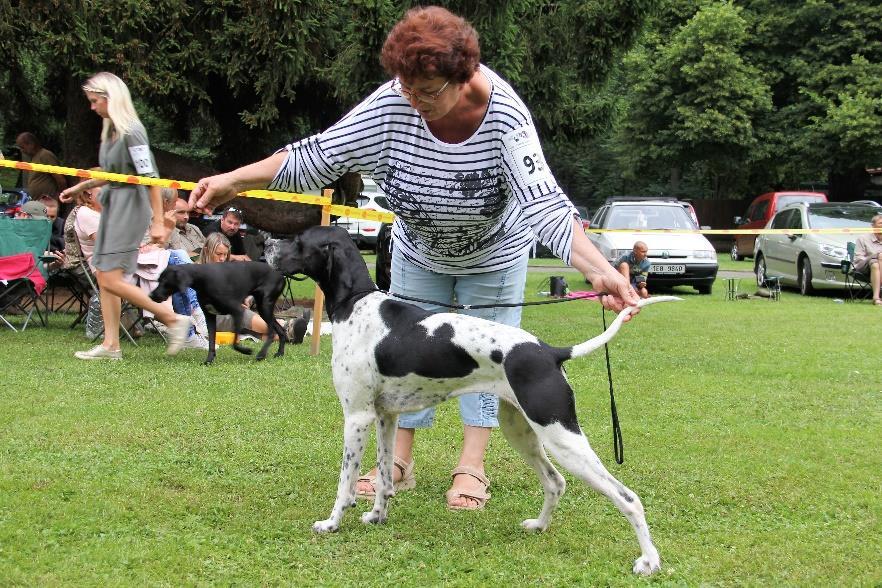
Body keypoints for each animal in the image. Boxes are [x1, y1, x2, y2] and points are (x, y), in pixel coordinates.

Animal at [150, 262, 288, 362]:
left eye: (165, 282)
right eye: (158, 280)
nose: (151, 295)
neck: (202, 279)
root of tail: (280, 274)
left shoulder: (238, 311)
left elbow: (234, 343)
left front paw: (246, 351)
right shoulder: (210, 316)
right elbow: (211, 341)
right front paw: (209, 360)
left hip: (264, 307)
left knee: (271, 333)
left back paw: (262, 354)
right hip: (264, 309)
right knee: (281, 331)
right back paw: (280, 353)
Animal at [278, 226, 676, 580]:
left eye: (299, 241)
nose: (269, 245)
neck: (356, 304)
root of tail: (550, 352)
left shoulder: (357, 417)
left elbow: (344, 484)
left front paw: (331, 523)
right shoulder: (386, 417)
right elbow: (384, 478)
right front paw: (377, 516)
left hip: (562, 437)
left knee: (627, 498)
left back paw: (649, 561)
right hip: (522, 432)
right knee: (555, 482)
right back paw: (539, 526)